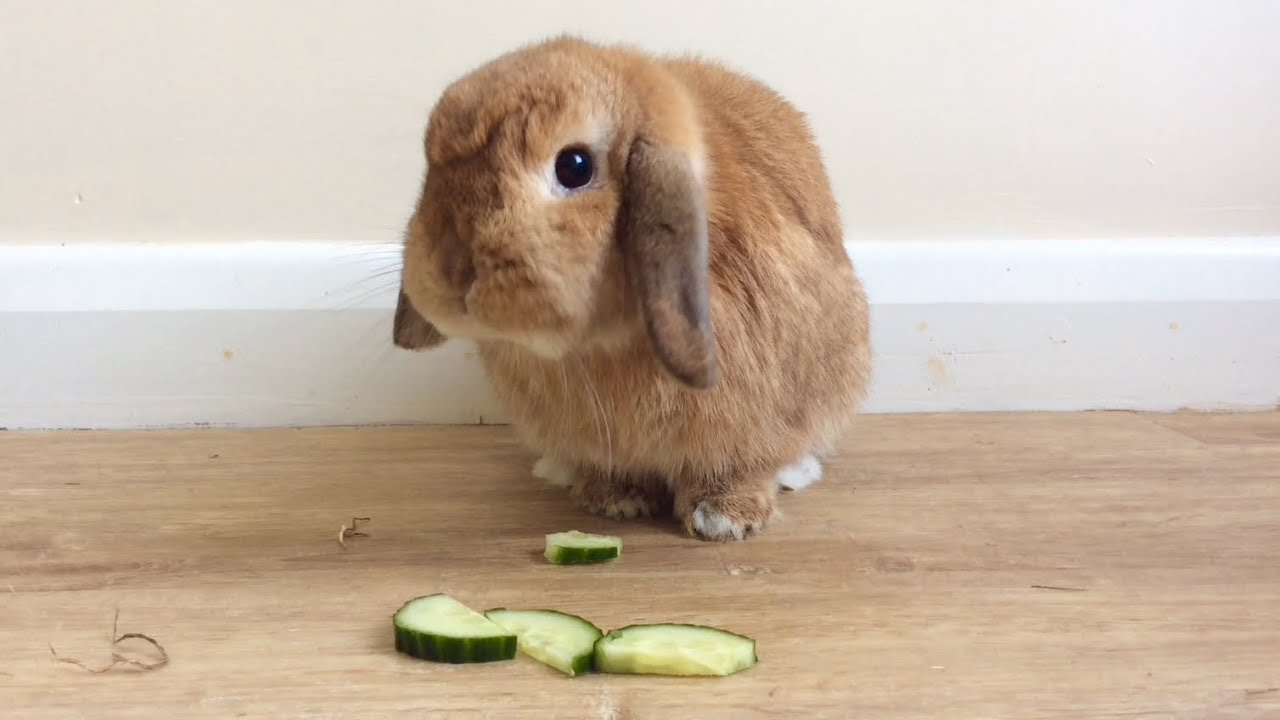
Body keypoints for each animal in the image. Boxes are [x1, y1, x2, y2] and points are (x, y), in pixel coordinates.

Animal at [393, 36, 871, 541]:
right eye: (431, 166)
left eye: (575, 167)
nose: (451, 268)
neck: (600, 345)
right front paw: (616, 500)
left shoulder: (757, 424)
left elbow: (742, 464)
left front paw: (723, 518)